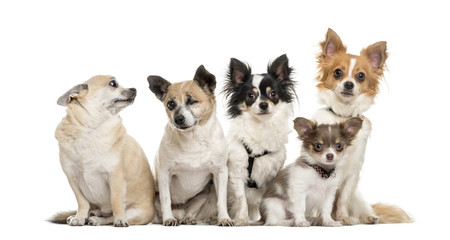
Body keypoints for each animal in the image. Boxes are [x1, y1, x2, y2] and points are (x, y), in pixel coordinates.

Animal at [50, 75, 156, 227]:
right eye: (113, 84)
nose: (134, 89)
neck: (90, 129)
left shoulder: (115, 176)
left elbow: (116, 202)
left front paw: (120, 219)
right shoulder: (72, 178)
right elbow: (82, 202)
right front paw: (80, 217)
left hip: (136, 212)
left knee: (110, 217)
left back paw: (98, 219)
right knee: (95, 209)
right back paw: (89, 215)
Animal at [149, 65, 234, 227]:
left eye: (192, 101)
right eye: (170, 104)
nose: (178, 119)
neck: (193, 138)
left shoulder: (220, 172)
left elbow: (222, 200)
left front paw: (224, 218)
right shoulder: (164, 173)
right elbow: (165, 199)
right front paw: (168, 219)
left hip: (203, 195)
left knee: (191, 210)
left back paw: (189, 218)